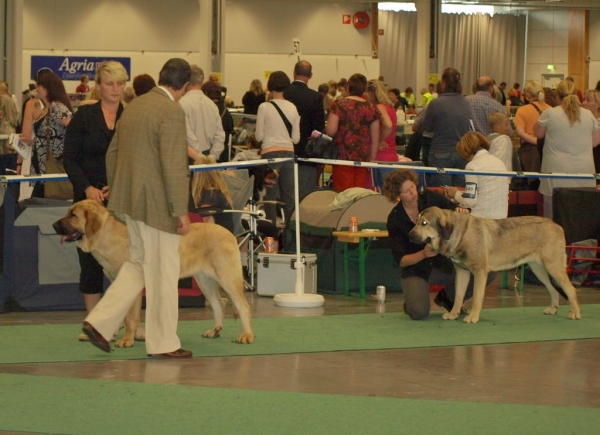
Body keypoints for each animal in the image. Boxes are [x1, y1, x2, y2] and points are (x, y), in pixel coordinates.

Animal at [52, 200, 254, 348]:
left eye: (73, 215)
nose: (53, 225)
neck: (107, 235)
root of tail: (229, 232)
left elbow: (130, 316)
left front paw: (127, 340)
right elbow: (121, 311)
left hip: (228, 277)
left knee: (243, 306)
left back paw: (246, 335)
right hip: (205, 280)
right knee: (219, 303)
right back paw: (215, 330)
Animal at [408, 207, 580, 324]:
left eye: (424, 223)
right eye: (416, 221)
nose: (409, 235)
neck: (460, 234)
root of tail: (557, 226)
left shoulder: (480, 272)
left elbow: (477, 297)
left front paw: (473, 317)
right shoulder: (462, 272)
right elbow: (458, 296)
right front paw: (453, 314)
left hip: (553, 266)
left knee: (570, 289)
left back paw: (575, 313)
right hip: (539, 269)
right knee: (554, 290)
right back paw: (553, 309)